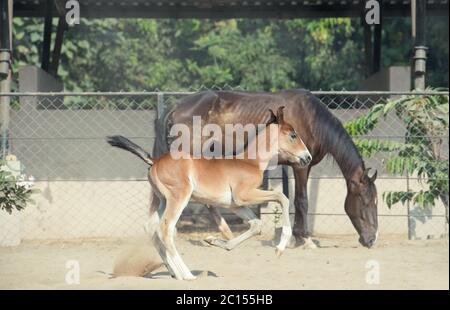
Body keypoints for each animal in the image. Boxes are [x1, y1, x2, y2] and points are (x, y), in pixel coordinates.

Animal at [108, 105, 312, 280]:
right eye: (293, 135)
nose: (307, 157)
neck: (250, 161)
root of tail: (155, 161)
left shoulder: (235, 205)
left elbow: (256, 224)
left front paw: (214, 241)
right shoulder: (244, 195)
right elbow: (282, 198)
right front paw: (280, 247)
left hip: (163, 200)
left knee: (151, 228)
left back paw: (174, 272)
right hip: (179, 198)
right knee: (165, 229)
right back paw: (187, 275)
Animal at [153, 88, 378, 248]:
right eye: (366, 201)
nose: (371, 239)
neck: (311, 119)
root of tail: (175, 108)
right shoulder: (300, 166)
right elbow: (301, 200)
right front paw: (304, 239)